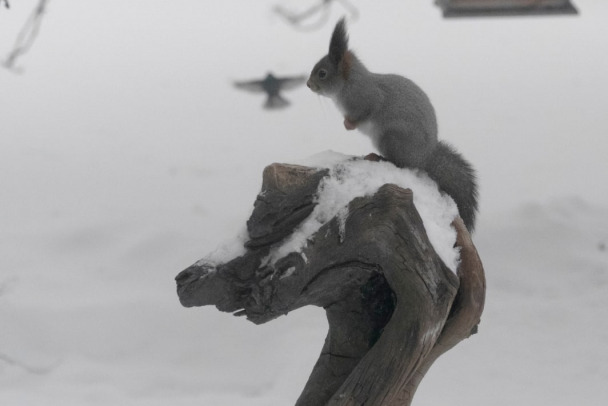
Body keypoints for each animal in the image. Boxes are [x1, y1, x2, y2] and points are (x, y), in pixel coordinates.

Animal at [306, 18, 478, 232]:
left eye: (322, 73)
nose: (308, 84)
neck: (348, 84)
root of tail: (425, 157)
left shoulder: (367, 99)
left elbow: (366, 112)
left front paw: (349, 124)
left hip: (391, 138)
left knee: (400, 163)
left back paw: (378, 157)